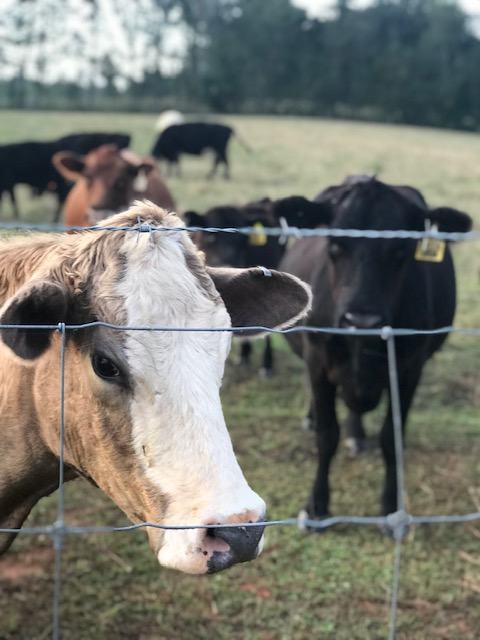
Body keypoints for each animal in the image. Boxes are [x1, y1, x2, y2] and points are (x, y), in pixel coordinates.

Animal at [279, 176, 472, 523]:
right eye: (334, 245)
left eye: (401, 250)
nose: (362, 319)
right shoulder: (317, 359)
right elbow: (327, 435)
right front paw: (317, 506)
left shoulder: (410, 367)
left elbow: (392, 438)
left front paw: (391, 506)